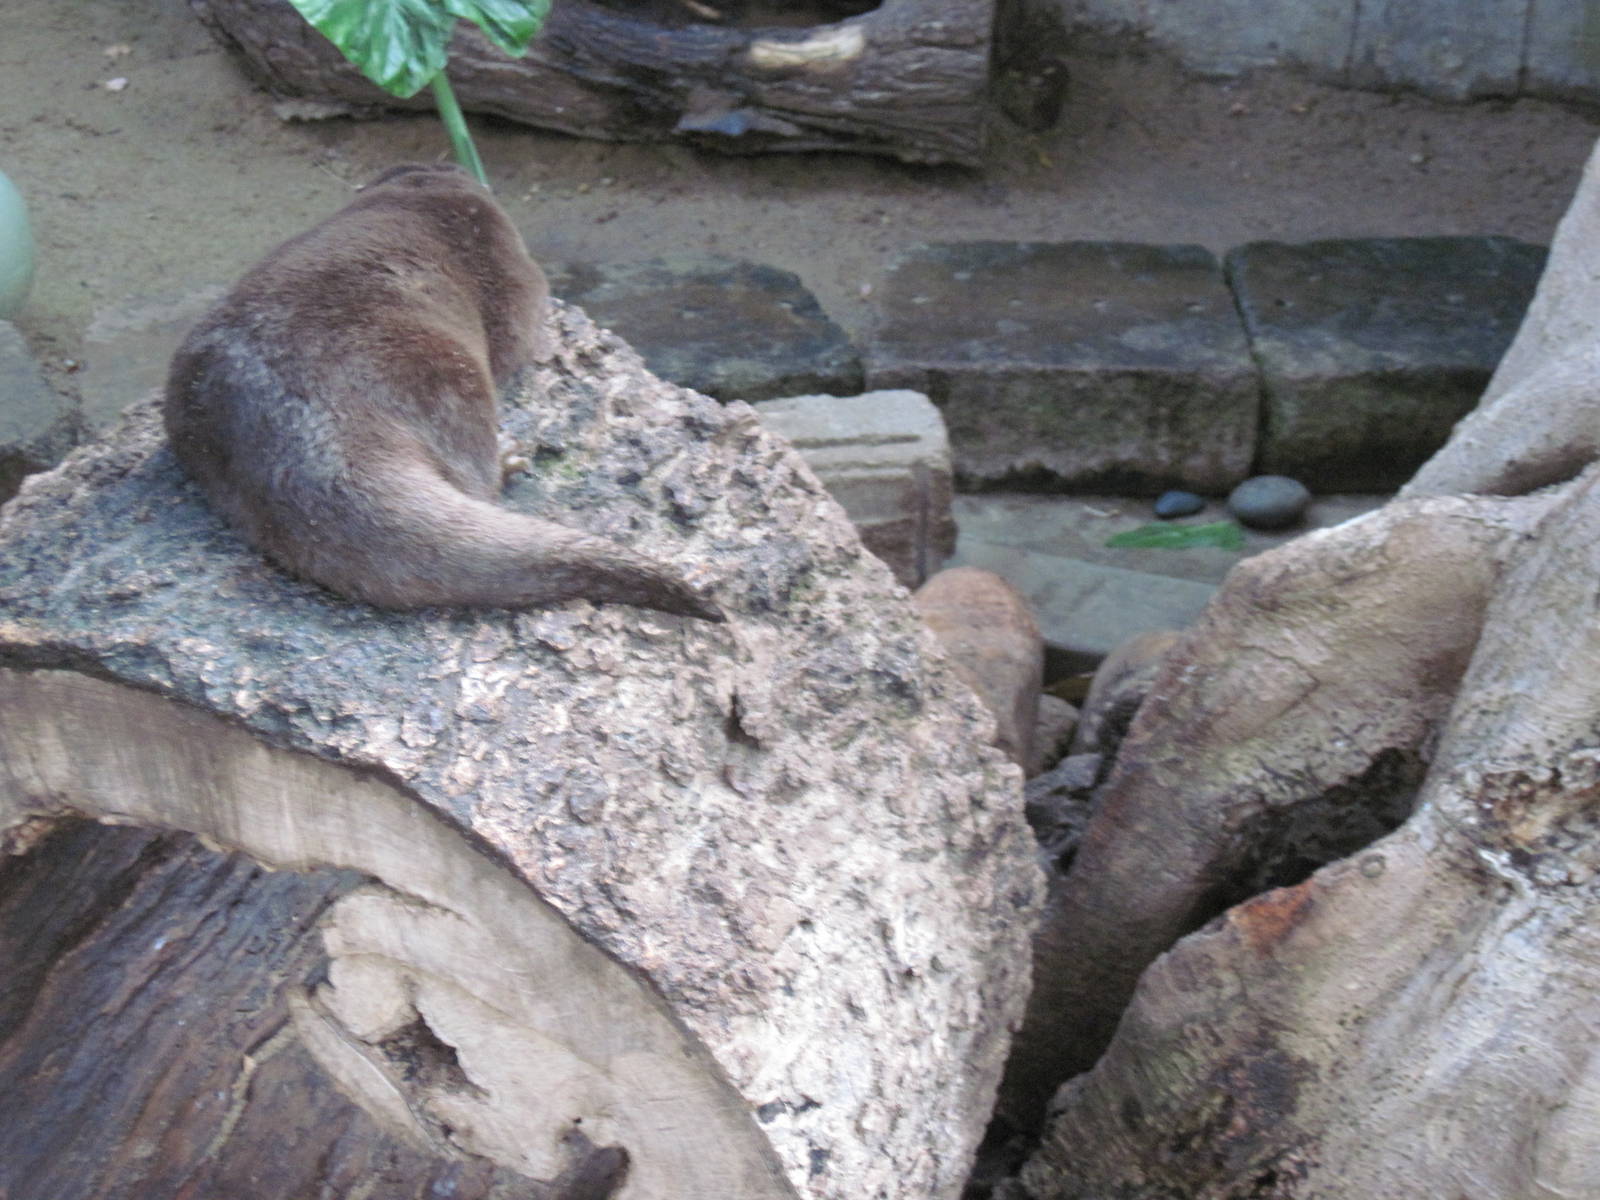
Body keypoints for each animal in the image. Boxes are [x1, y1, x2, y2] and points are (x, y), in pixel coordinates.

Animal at [164, 163, 721, 622]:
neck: (424, 195)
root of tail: (308, 447)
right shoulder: (518, 278)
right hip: (447, 376)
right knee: (474, 469)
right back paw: (508, 456)